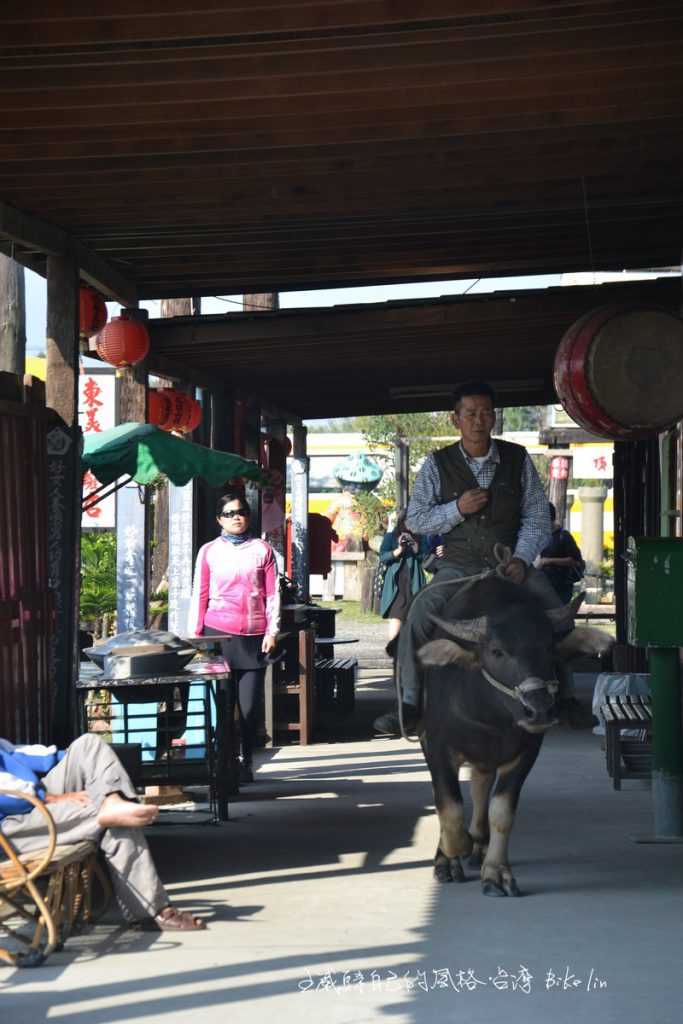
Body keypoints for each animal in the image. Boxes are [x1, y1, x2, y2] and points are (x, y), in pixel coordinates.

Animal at [413, 577, 610, 897]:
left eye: (548, 648)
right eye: (497, 651)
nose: (539, 710)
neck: (490, 718)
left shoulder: (525, 753)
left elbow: (501, 812)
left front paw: (495, 873)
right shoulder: (437, 748)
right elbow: (449, 808)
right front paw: (451, 855)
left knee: (480, 786)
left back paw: (480, 844)